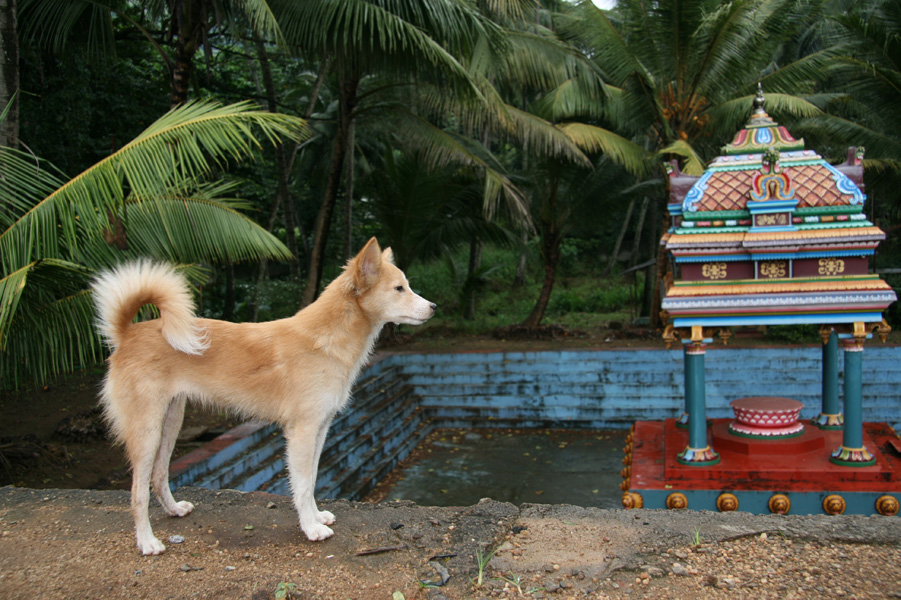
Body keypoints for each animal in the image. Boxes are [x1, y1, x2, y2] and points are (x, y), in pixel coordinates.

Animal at [93, 237, 438, 556]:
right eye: (399, 288)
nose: (434, 307)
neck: (324, 339)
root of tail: (127, 333)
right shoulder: (302, 431)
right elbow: (302, 484)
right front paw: (310, 528)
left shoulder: (320, 429)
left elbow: (312, 478)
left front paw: (316, 517)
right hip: (147, 430)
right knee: (138, 491)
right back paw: (147, 541)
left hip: (170, 422)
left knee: (160, 474)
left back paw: (174, 510)